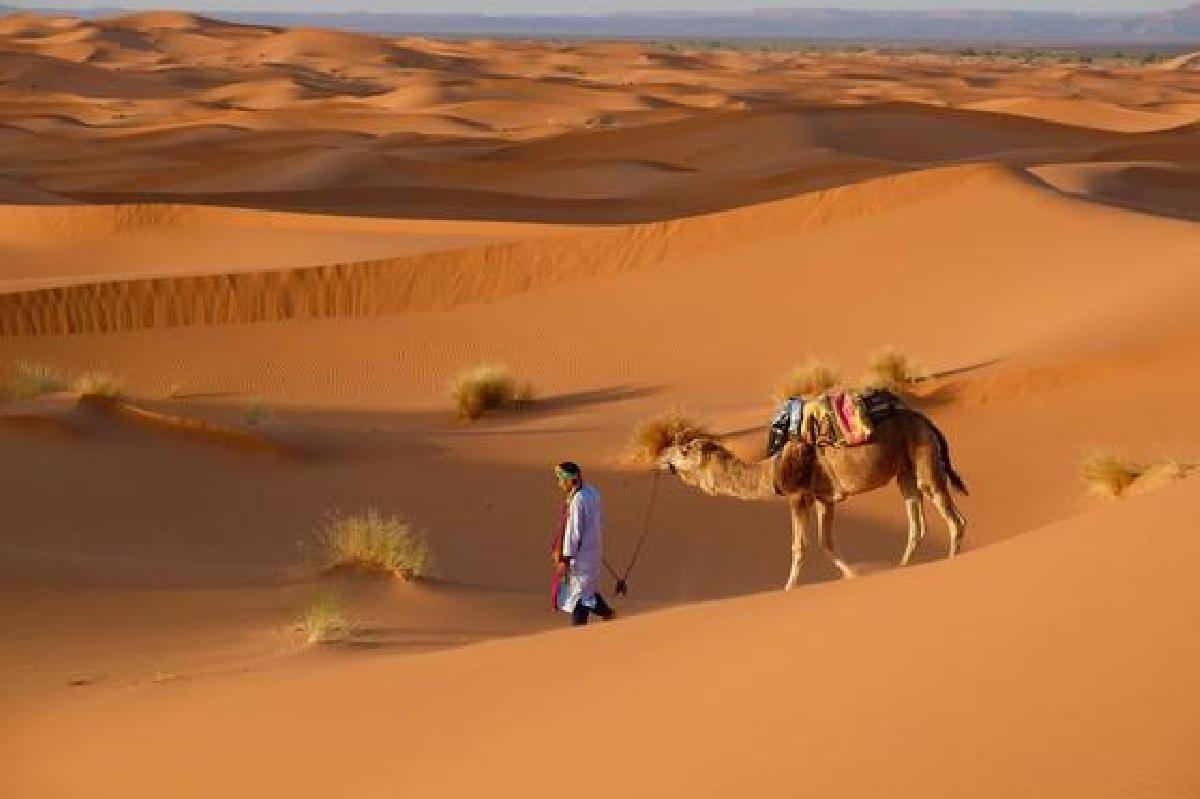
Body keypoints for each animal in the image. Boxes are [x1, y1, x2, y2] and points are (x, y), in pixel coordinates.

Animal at [657, 407, 964, 587]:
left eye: (684, 450)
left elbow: (799, 546)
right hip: (904, 470)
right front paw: (853, 575)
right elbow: (825, 542)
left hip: (923, 454)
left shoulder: (796, 495)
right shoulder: (824, 498)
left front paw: (788, 589)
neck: (772, 470)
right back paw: (903, 566)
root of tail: (927, 422)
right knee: (917, 521)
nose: (661, 458)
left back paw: (951, 560)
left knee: (951, 515)